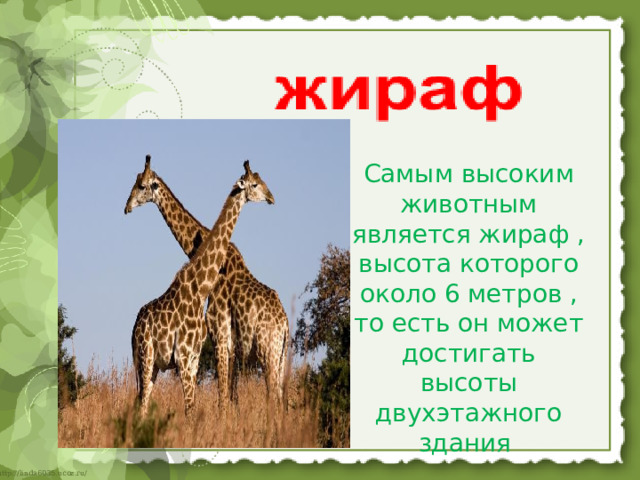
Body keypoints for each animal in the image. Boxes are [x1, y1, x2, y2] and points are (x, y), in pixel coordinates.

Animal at [125, 155, 289, 411]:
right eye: (256, 183)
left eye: (141, 186)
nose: (127, 206)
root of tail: (284, 324)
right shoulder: (221, 346)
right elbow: (228, 399)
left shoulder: (219, 339)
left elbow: (223, 399)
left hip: (269, 352)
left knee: (274, 396)